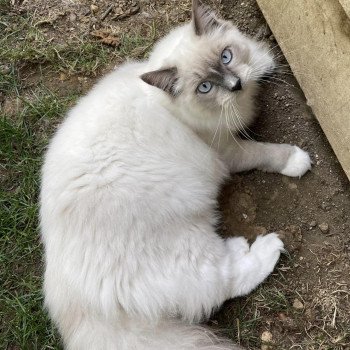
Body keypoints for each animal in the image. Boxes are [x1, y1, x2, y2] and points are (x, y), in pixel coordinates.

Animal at [39, 1, 310, 348]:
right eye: (205, 87)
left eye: (226, 57)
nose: (235, 85)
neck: (170, 108)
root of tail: (79, 307)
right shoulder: (227, 151)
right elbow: (266, 153)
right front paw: (296, 160)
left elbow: (259, 60)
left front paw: (263, 65)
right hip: (191, 243)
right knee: (224, 280)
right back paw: (265, 248)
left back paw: (238, 247)